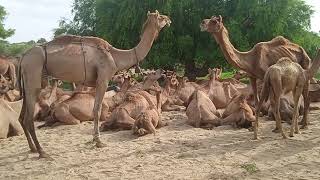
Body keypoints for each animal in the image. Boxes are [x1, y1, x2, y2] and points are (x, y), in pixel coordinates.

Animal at [18, 10, 172, 158]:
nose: (169, 19)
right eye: (161, 17)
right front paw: (98, 141)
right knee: (28, 118)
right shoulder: (103, 79)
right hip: (33, 76)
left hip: (28, 83)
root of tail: (23, 58)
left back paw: (32, 148)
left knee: (21, 117)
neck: (115, 56)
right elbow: (96, 109)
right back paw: (42, 151)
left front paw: (94, 139)